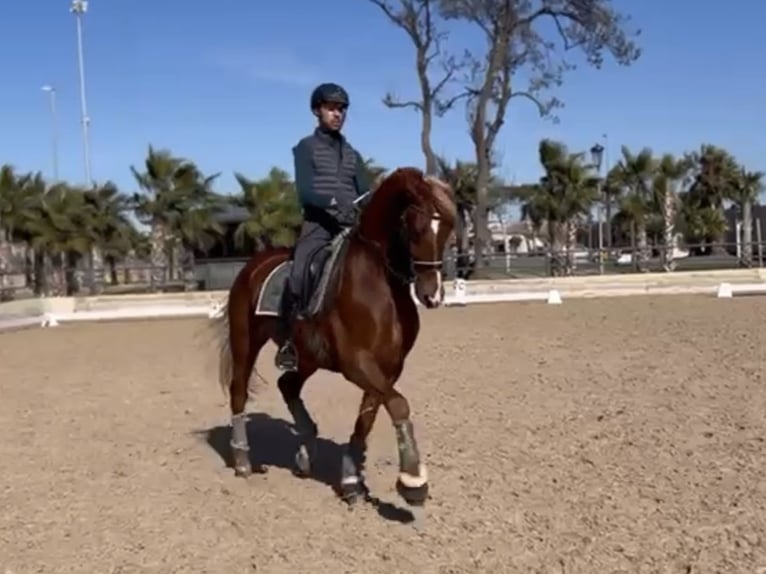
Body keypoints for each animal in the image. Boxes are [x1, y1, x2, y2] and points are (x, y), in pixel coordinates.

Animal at [213, 166, 456, 508]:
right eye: (415, 225)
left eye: (446, 226)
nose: (432, 294)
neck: (380, 283)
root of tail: (254, 265)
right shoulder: (357, 364)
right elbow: (398, 405)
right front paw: (413, 481)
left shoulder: (388, 367)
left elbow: (368, 418)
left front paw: (352, 481)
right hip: (246, 342)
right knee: (239, 391)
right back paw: (244, 462)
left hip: (307, 356)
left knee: (287, 385)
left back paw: (304, 453)